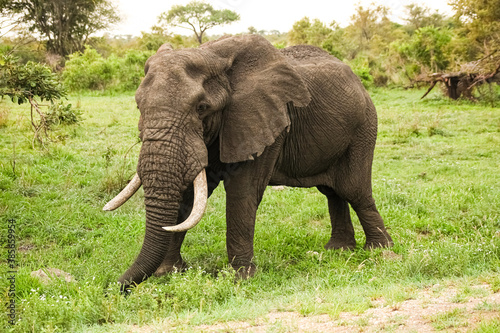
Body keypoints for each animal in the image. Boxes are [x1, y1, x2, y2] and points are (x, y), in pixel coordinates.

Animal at [104, 33, 394, 288]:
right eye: (138, 106)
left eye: (201, 108)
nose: (114, 288)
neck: (211, 54)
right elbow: (188, 194)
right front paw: (168, 272)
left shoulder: (264, 119)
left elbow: (242, 193)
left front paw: (241, 278)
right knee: (332, 191)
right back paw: (338, 250)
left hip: (364, 127)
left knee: (353, 189)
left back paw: (380, 251)